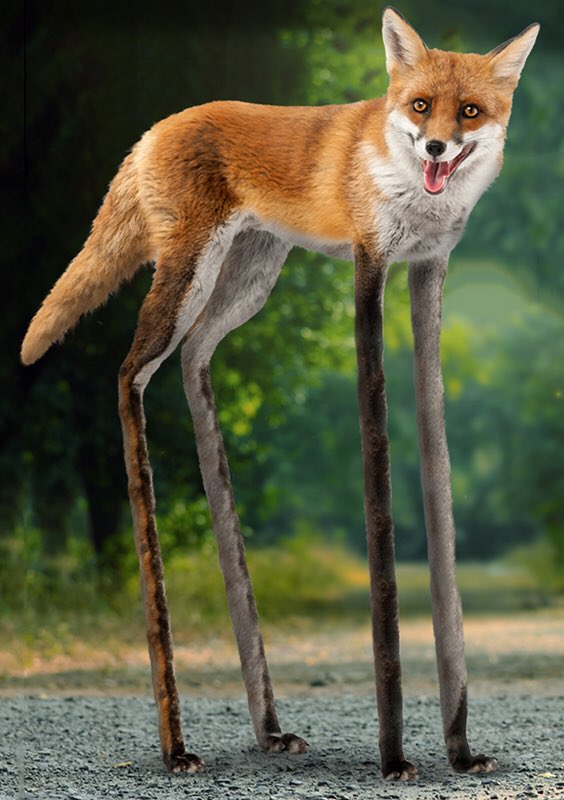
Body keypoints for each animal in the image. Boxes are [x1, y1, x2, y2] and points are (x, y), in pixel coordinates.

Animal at [21, 6, 539, 782]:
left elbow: (440, 490)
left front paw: (460, 749)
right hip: (190, 275)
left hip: (248, 279)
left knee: (193, 365)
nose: (437, 145)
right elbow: (380, 495)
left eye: (469, 111)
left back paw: (266, 725)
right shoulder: (368, 268)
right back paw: (175, 744)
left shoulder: (428, 272)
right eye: (421, 106)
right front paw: (393, 758)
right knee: (128, 375)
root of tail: (154, 129)